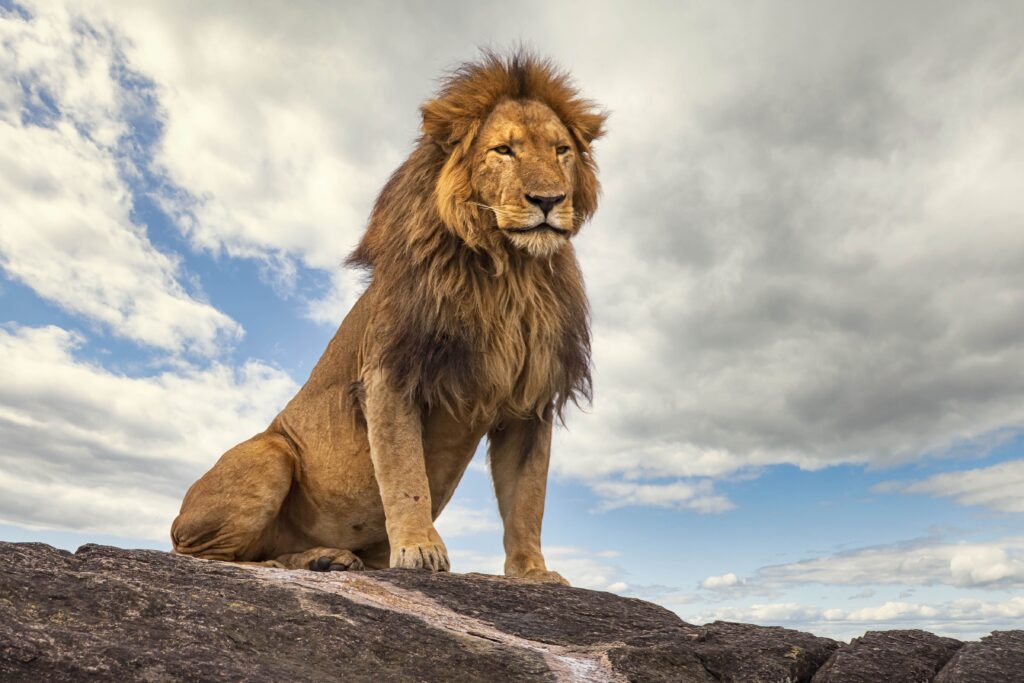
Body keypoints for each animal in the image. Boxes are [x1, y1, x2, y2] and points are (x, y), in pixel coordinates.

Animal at [170, 51, 606, 584]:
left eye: (561, 150)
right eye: (503, 150)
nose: (549, 201)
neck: (510, 274)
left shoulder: (530, 401)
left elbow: (527, 499)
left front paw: (532, 573)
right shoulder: (391, 374)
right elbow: (405, 475)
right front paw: (420, 550)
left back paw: (327, 557)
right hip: (268, 455)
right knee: (209, 555)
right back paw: (303, 560)